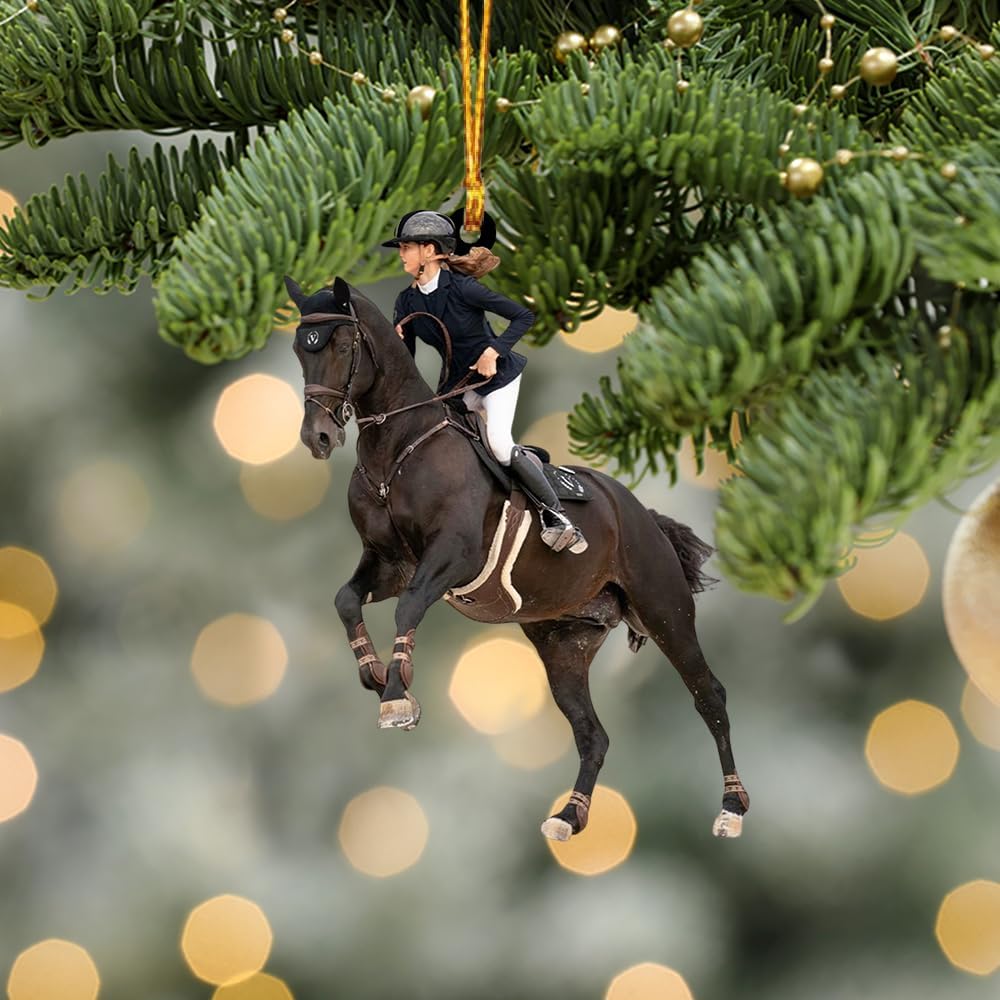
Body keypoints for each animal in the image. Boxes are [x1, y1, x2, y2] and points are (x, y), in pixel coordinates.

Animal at [285, 274, 750, 842]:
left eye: (343, 346)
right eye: (299, 349)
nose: (318, 437)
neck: (397, 449)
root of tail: (643, 514)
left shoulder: (451, 558)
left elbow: (408, 607)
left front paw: (396, 695)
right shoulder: (389, 562)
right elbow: (346, 599)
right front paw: (373, 675)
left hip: (665, 611)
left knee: (710, 697)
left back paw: (731, 809)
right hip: (563, 643)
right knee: (593, 734)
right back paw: (568, 817)